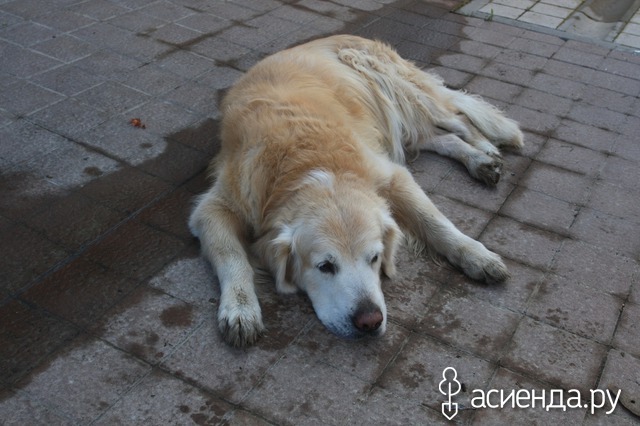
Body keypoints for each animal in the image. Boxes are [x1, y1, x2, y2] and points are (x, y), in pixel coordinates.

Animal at [189, 35, 523, 347]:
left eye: (374, 258)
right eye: (325, 266)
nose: (370, 321)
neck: (311, 166)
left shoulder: (391, 175)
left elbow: (436, 222)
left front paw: (477, 256)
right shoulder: (217, 205)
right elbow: (230, 253)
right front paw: (240, 309)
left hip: (391, 86)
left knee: (458, 118)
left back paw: (486, 151)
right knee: (438, 137)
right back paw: (479, 159)